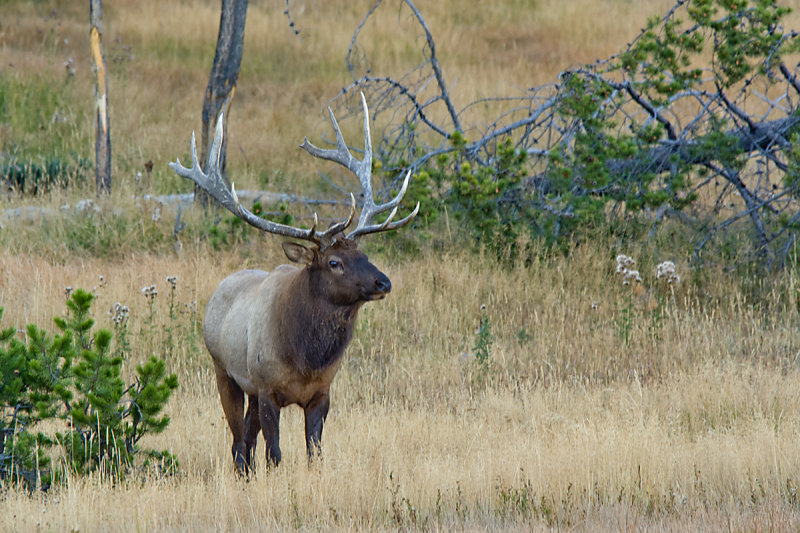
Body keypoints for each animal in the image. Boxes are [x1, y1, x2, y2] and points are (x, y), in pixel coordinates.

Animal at [170, 93, 418, 472]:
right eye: (334, 262)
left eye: (363, 252)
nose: (383, 283)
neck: (305, 358)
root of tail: (219, 291)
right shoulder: (267, 389)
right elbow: (275, 454)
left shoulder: (321, 394)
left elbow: (314, 453)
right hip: (224, 372)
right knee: (238, 441)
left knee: (247, 438)